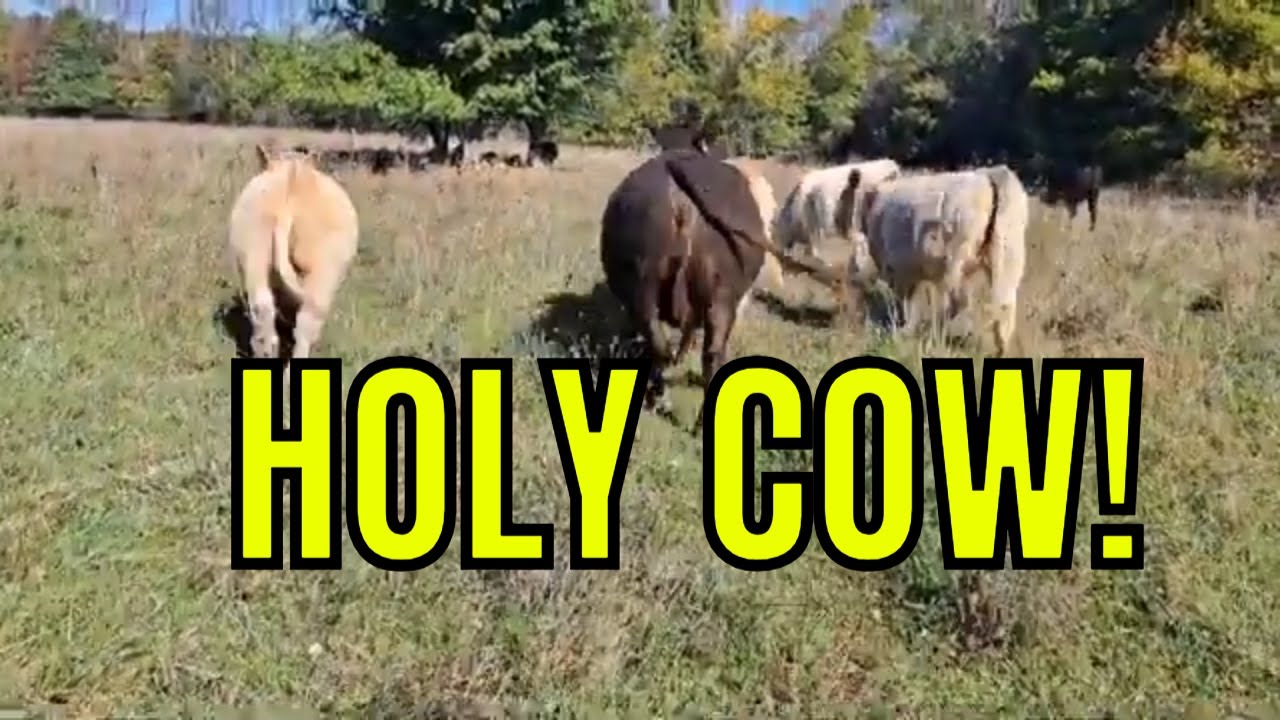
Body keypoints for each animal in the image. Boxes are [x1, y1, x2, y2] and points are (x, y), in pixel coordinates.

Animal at [600, 149, 842, 420]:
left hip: (645, 292)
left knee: (664, 346)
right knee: (707, 353)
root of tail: (681, 200)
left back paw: (659, 401)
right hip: (718, 297)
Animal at [836, 164, 1029, 357]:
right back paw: (1000, 348)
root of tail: (991, 176)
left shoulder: (899, 268)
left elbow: (908, 303)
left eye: (844, 194)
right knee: (1003, 304)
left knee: (958, 302)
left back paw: (936, 335)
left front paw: (904, 332)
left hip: (953, 260)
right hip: (1008, 252)